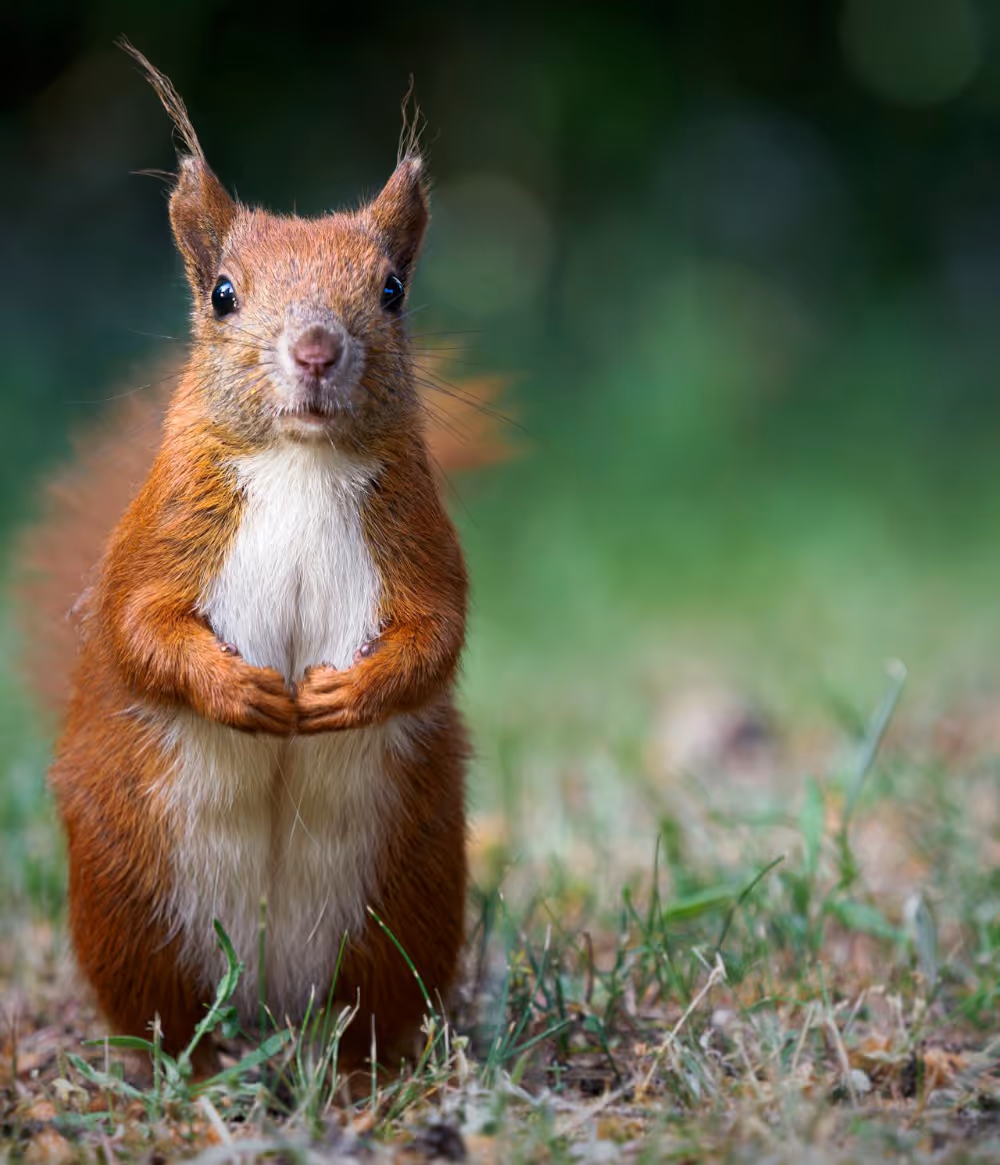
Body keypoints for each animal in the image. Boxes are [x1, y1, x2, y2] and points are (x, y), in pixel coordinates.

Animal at [28, 44, 501, 1076]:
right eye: (223, 293)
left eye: (392, 289)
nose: (317, 348)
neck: (299, 463)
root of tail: (271, 1005)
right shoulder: (161, 536)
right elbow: (136, 626)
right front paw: (237, 690)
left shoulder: (418, 542)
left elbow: (437, 633)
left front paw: (347, 693)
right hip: (135, 902)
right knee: (166, 1011)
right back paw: (188, 1067)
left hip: (404, 897)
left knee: (373, 1007)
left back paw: (365, 1072)